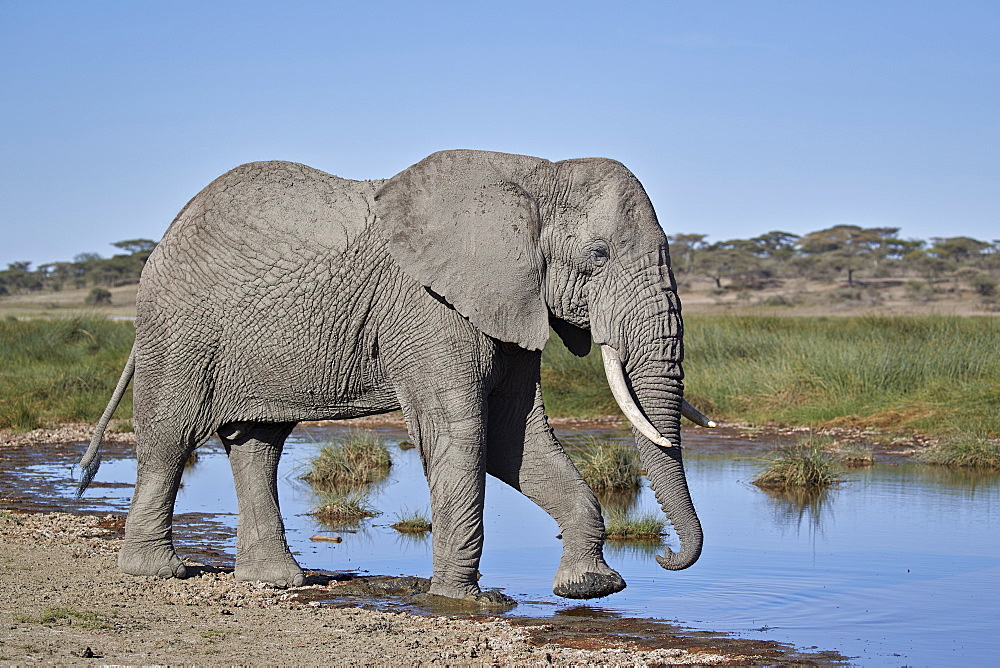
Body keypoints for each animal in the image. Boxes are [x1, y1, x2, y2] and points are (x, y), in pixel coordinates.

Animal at [82, 150, 716, 604]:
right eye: (599, 254)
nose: (666, 558)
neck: (533, 174)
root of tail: (167, 233)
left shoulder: (508, 301)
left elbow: (513, 438)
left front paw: (589, 588)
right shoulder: (430, 308)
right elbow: (461, 432)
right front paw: (465, 603)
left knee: (258, 443)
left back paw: (278, 581)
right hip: (179, 327)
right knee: (170, 437)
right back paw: (157, 572)